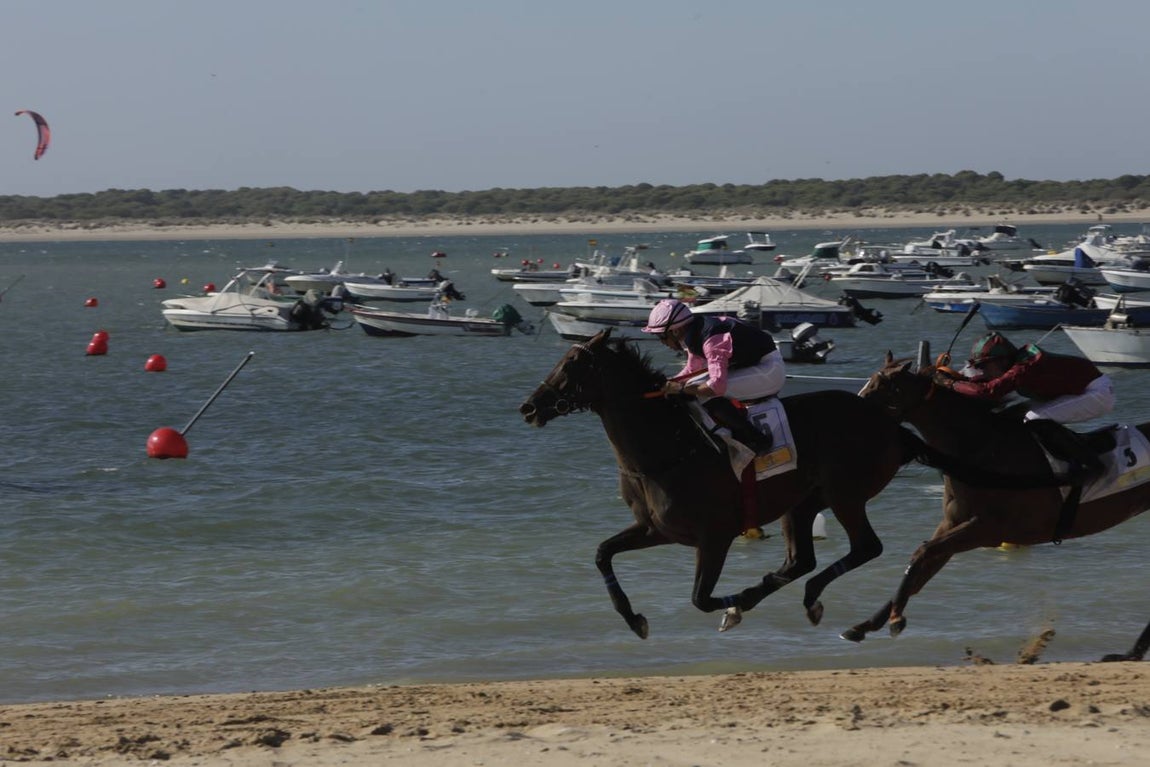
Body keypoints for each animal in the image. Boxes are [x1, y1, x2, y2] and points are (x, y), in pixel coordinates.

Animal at [517, 330, 1005, 638]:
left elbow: (700, 598)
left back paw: (801, 600)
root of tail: (890, 424)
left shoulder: (714, 536)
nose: (529, 407)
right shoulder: (656, 529)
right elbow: (603, 554)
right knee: (800, 560)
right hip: (801, 503)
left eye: (573, 363)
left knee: (865, 547)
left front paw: (734, 606)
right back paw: (801, 597)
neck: (667, 449)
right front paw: (634, 619)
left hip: (845, 493)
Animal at [846, 352, 1150, 662]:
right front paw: (865, 624)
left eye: (881, 386)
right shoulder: (952, 524)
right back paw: (1130, 653)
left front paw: (895, 619)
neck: (981, 449)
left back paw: (1130, 653)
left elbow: (922, 553)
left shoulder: (988, 530)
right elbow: (921, 568)